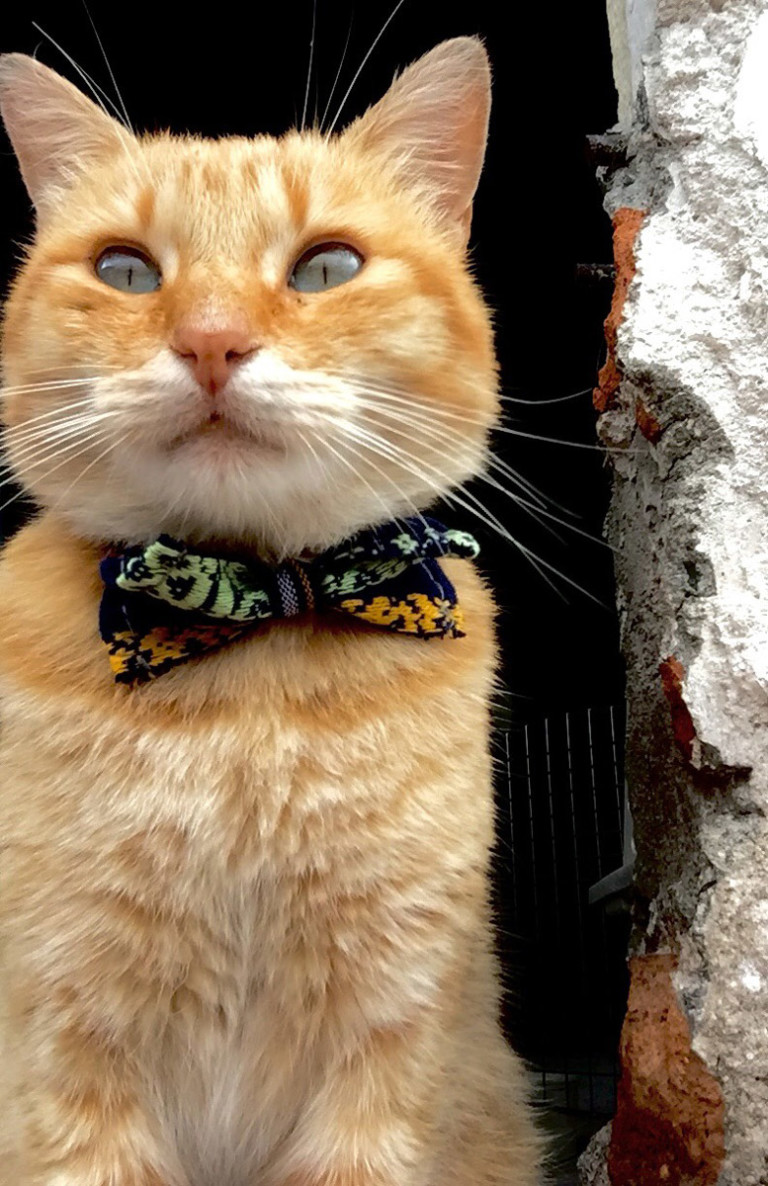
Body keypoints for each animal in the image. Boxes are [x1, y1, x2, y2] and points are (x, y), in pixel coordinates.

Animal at [0, 36, 542, 1186]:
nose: (211, 342)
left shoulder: (386, 1044)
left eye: (326, 267)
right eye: (125, 270)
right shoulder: (69, 1049)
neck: (251, 627)